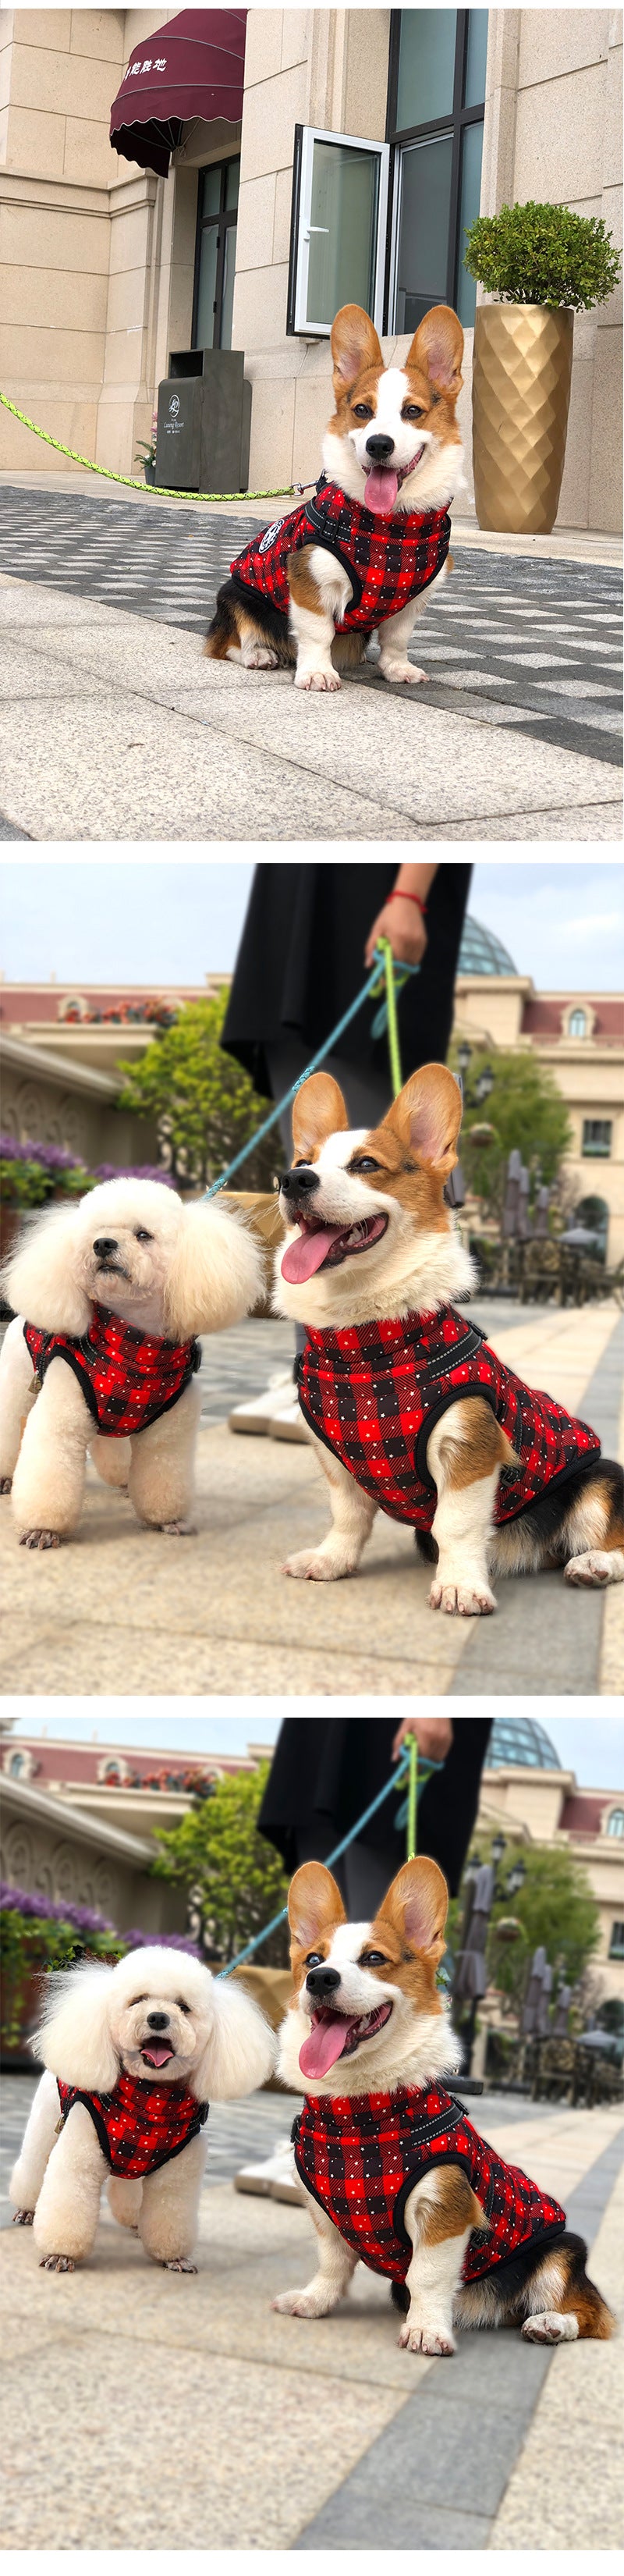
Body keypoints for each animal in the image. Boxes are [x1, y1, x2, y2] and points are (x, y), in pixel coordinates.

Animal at [0, 1179, 261, 1545]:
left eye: (143, 1235)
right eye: (94, 1233)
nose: (102, 1244)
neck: (136, 1353)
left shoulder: (167, 1435)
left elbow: (162, 1474)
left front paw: (169, 1520)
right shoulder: (60, 1420)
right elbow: (49, 1470)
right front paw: (43, 1529)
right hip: (17, 1383)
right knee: (11, 1426)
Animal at [10, 1947, 275, 2277]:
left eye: (184, 2007)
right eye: (136, 2001)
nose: (158, 2017)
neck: (151, 2104)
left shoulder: (175, 2177)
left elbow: (169, 2215)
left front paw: (174, 2258)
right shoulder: (78, 2159)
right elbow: (68, 2203)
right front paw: (60, 2254)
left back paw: (135, 2221)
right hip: (47, 2123)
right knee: (33, 2165)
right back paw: (26, 2209)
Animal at [204, 300, 464, 695]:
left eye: (412, 411)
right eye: (362, 410)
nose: (378, 444)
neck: (394, 528)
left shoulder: (412, 600)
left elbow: (397, 638)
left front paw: (397, 669)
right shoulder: (310, 582)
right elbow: (318, 633)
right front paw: (316, 673)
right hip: (236, 595)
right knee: (229, 642)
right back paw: (259, 655)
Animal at [275, 1066, 624, 1607]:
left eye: (367, 1164)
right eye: (302, 1162)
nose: (291, 1181)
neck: (364, 1345)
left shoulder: (470, 1448)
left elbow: (456, 1524)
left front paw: (460, 1585)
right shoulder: (337, 1463)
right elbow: (347, 1518)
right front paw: (331, 1561)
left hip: (602, 1480)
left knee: (611, 1538)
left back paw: (594, 1565)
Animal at [275, 1864, 613, 2359]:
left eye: (374, 1958)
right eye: (313, 1959)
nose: (320, 1980)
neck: (358, 2113)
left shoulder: (445, 2211)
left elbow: (428, 2277)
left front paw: (426, 2330)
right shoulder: (326, 2217)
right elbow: (331, 2263)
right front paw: (314, 2301)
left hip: (560, 2251)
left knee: (592, 2315)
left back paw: (550, 2324)